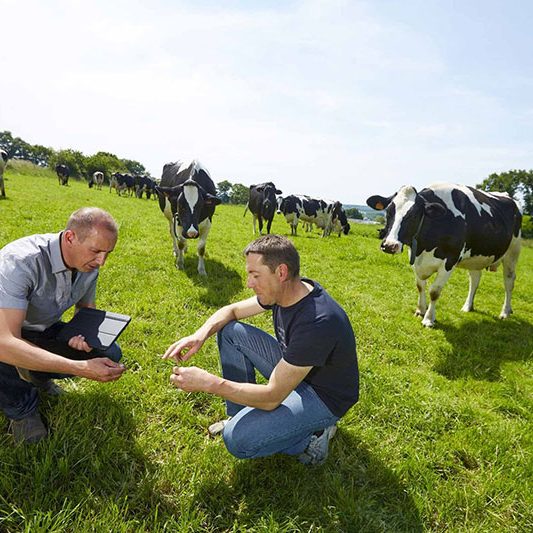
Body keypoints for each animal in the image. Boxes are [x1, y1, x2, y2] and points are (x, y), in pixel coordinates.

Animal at [366, 183, 520, 326]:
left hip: (512, 252)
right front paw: (420, 310)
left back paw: (505, 312)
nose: (390, 245)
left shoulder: (449, 261)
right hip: (476, 257)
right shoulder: (416, 259)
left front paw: (428, 319)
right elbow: (420, 286)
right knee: (475, 279)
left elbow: (434, 292)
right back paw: (467, 307)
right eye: (389, 211)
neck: (424, 246)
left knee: (509, 281)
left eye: (413, 214)